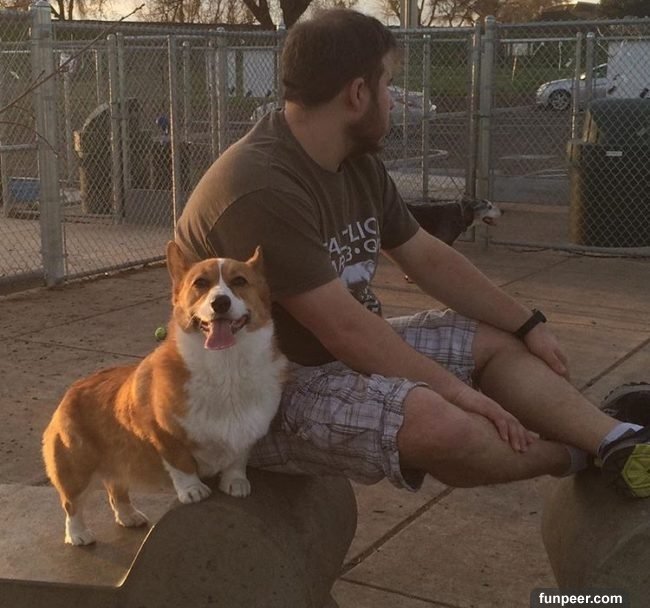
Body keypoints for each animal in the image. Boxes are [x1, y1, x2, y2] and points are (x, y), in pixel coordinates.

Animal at [42, 242, 288, 545]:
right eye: (200, 283)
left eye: (240, 281)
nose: (220, 303)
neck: (226, 368)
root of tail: (72, 390)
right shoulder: (162, 433)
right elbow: (181, 463)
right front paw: (193, 490)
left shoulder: (249, 431)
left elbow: (237, 457)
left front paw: (235, 481)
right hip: (76, 468)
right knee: (72, 503)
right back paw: (78, 534)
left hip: (118, 462)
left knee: (116, 489)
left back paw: (129, 516)